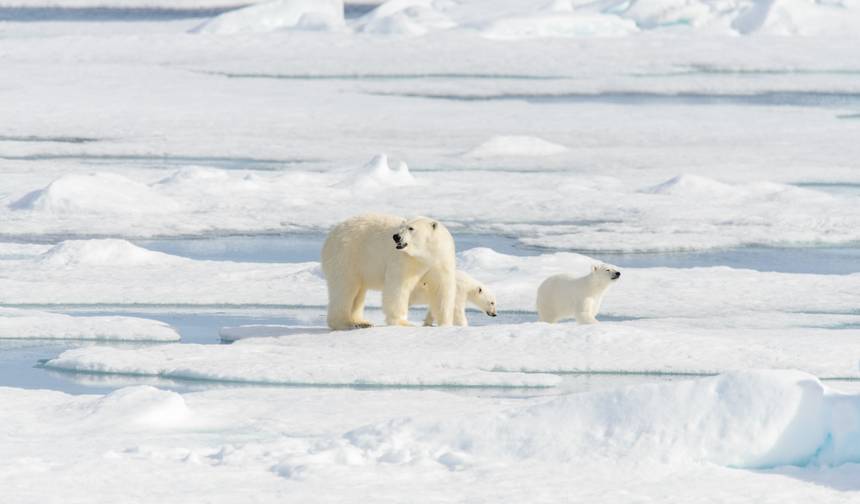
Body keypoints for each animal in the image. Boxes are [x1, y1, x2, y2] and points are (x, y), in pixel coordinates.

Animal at [321, 213, 457, 330]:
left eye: (411, 228)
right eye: (401, 226)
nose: (396, 237)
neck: (424, 256)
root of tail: (331, 234)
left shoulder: (441, 261)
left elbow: (441, 290)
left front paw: (446, 324)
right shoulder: (405, 261)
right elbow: (398, 288)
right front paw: (403, 323)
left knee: (358, 294)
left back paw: (361, 322)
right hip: (347, 255)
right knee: (344, 288)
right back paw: (344, 323)